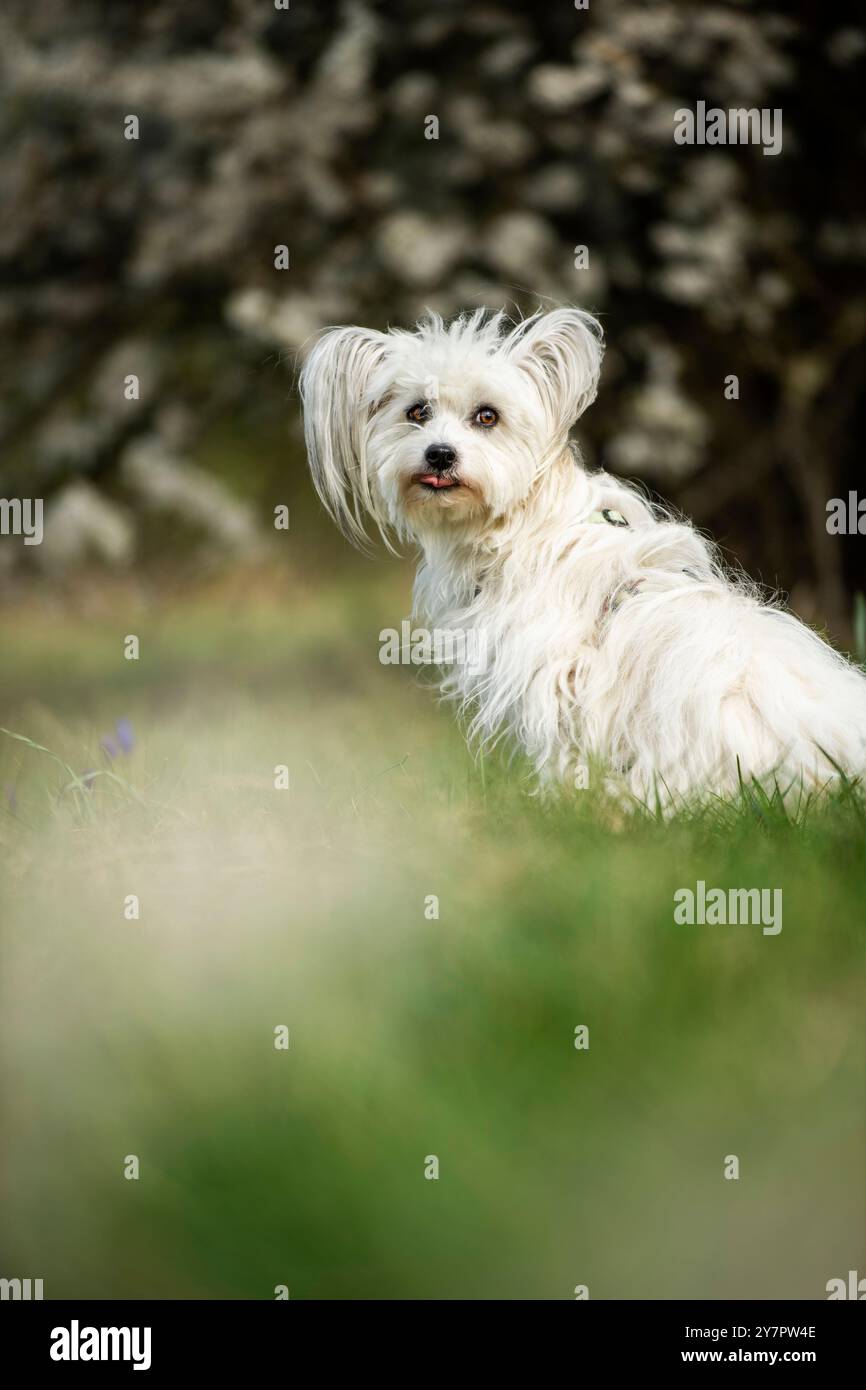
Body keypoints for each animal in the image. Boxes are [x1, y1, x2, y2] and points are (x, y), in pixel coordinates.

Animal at [300, 304, 866, 806]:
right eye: (416, 412)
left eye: (487, 417)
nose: (440, 454)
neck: (522, 525)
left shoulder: (556, 676)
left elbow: (562, 751)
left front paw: (565, 808)